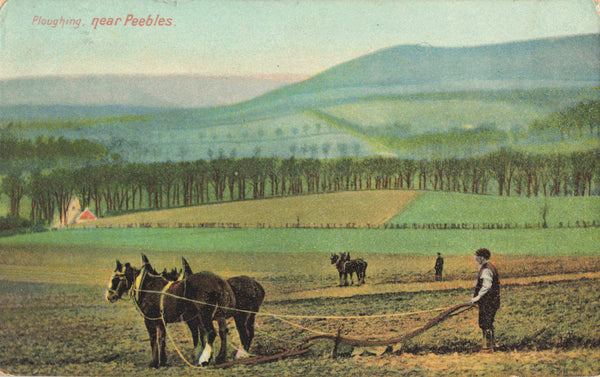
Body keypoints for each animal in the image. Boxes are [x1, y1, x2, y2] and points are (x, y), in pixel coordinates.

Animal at [104, 254, 236, 366]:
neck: (147, 288)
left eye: (116, 278)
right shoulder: (161, 321)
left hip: (205, 316)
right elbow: (162, 339)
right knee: (222, 332)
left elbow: (153, 340)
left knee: (212, 333)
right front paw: (163, 361)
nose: (109, 296)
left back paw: (205, 359)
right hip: (218, 315)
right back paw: (219, 358)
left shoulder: (149, 320)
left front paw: (154, 363)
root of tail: (219, 282)